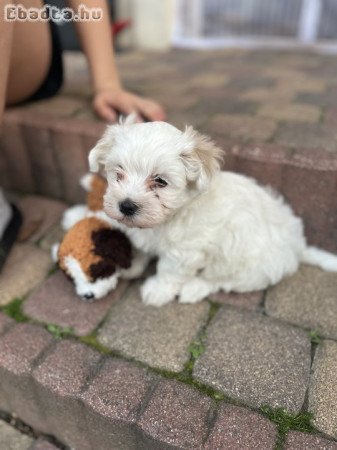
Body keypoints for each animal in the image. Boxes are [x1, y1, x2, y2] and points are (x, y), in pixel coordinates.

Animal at [88, 118, 336, 308]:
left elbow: (169, 271)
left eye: (160, 181)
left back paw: (194, 288)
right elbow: (141, 249)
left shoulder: (184, 252)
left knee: (222, 281)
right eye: (118, 174)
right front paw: (132, 265)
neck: (170, 217)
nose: (126, 205)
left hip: (247, 264)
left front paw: (158, 291)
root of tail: (298, 245)